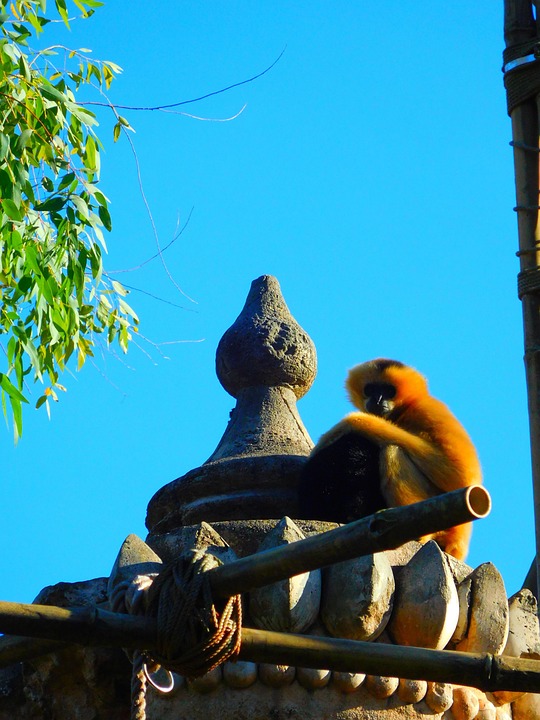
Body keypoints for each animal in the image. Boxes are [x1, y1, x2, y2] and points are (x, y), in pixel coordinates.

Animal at [298, 358, 482, 560]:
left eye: (389, 391)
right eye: (370, 389)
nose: (377, 399)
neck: (404, 410)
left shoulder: (428, 410)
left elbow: (461, 476)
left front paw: (348, 423)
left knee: (392, 451)